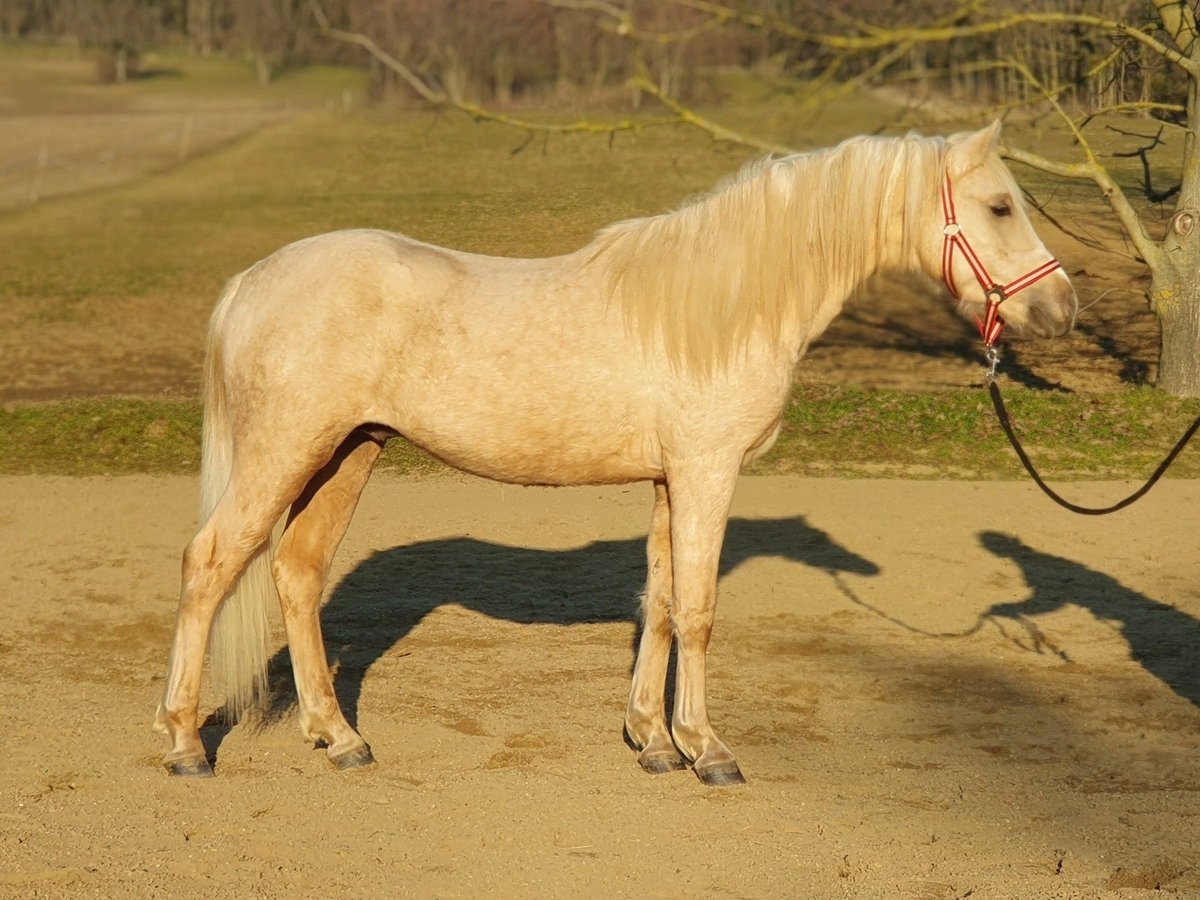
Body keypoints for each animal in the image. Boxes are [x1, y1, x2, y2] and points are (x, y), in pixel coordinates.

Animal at [152, 120, 1080, 782]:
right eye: (1000, 207)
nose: (1062, 310)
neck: (722, 305)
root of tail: (253, 280)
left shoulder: (673, 480)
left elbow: (660, 602)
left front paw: (653, 742)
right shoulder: (708, 473)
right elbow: (698, 610)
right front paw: (709, 750)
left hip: (348, 453)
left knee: (296, 574)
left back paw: (339, 737)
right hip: (286, 454)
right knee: (210, 564)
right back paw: (186, 744)